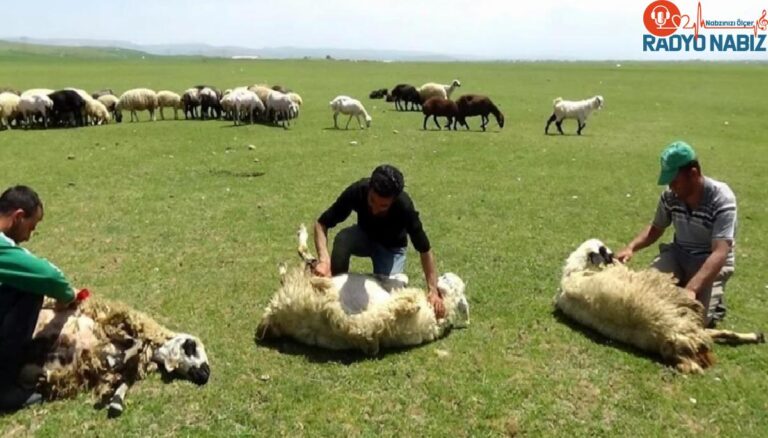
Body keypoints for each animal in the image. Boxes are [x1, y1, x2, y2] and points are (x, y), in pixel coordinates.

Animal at [18, 292, 210, 416]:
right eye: (191, 346)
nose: (205, 374)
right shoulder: (112, 325)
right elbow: (135, 343)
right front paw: (114, 359)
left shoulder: (128, 367)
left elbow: (124, 381)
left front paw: (116, 402)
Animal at [256, 224, 468, 354]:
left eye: (446, 279)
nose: (442, 276)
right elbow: (401, 280)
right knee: (308, 262)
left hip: (305, 290)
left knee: (306, 262)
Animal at [556, 240, 764, 372]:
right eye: (604, 252)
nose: (614, 256)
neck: (573, 272)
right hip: (688, 322)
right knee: (713, 339)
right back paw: (756, 336)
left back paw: (756, 336)